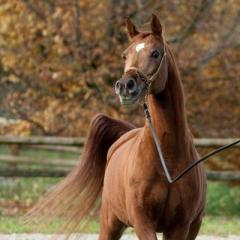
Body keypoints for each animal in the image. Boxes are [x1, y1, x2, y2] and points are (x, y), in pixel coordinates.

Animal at [26, 15, 206, 240]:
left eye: (155, 53)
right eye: (124, 55)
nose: (125, 86)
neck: (167, 158)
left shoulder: (179, 226)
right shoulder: (142, 222)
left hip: (193, 227)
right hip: (110, 222)